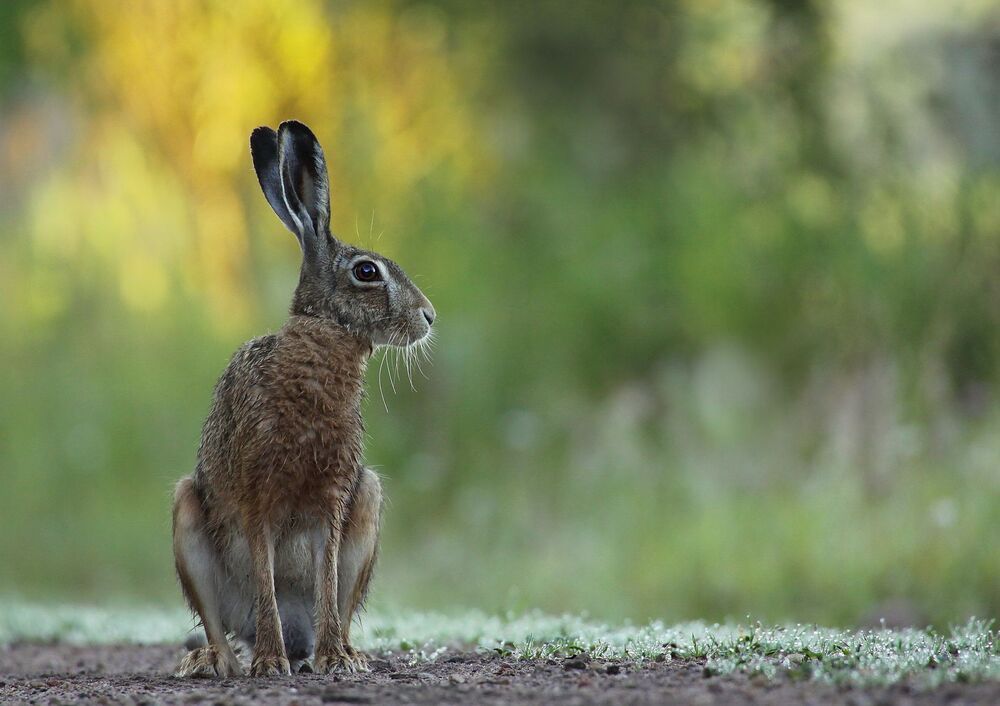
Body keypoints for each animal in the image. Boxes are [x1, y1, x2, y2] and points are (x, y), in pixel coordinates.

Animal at [171, 120, 435, 678]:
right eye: (366, 272)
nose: (429, 316)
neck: (322, 342)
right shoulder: (258, 496)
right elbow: (265, 581)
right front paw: (271, 664)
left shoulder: (331, 500)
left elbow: (328, 579)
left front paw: (335, 659)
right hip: (187, 516)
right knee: (219, 621)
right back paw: (220, 660)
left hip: (369, 498)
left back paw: (344, 654)